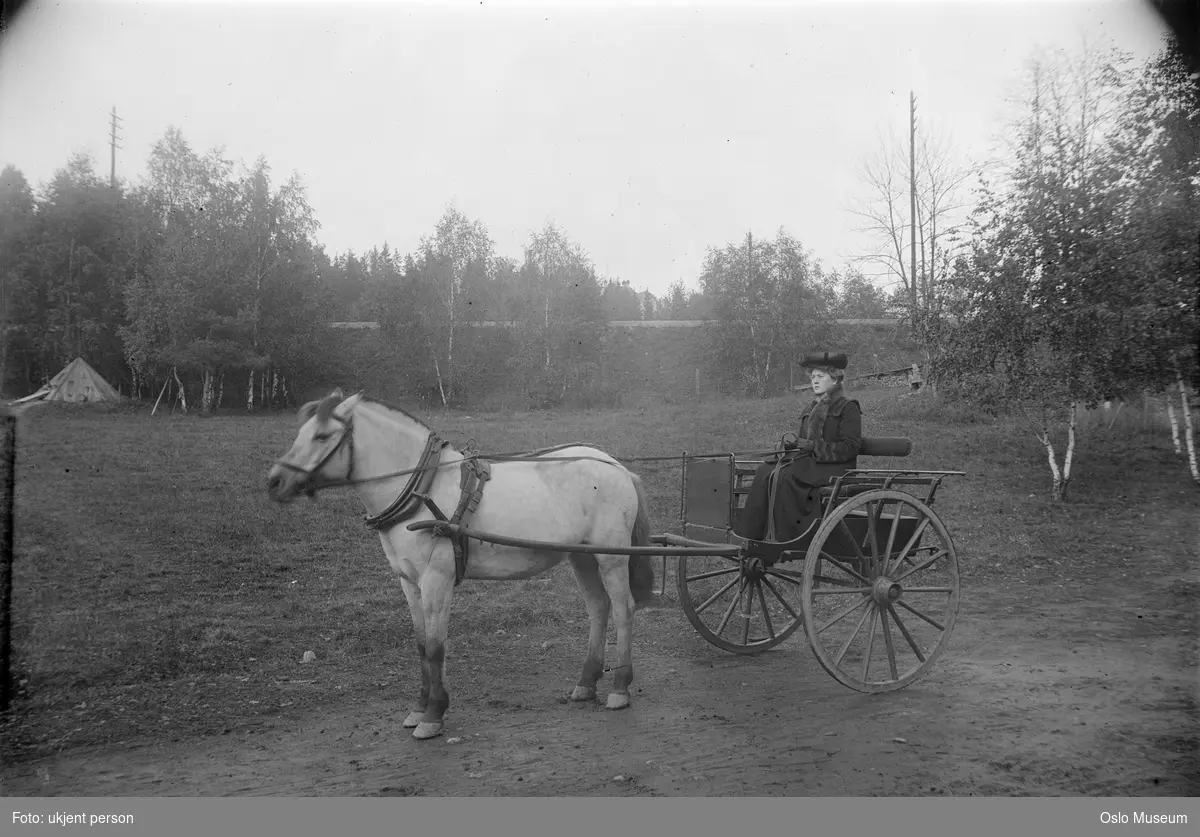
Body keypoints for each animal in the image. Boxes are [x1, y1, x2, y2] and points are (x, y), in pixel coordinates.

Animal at [266, 386, 657, 738]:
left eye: (322, 435)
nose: (274, 482)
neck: (423, 491)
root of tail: (617, 467)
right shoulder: (409, 582)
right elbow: (421, 644)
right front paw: (418, 708)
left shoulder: (436, 579)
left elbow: (436, 646)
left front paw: (433, 715)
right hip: (583, 557)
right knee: (598, 608)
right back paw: (586, 683)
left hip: (610, 557)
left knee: (623, 609)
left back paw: (620, 687)